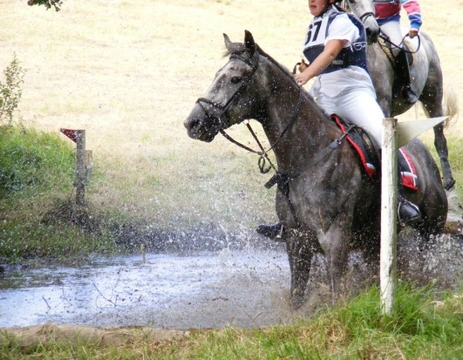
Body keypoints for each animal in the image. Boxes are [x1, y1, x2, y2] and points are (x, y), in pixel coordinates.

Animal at [184, 31, 450, 308]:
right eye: (217, 75)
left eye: (235, 78)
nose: (193, 123)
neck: (308, 155)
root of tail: (425, 155)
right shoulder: (296, 241)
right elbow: (297, 296)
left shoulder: (334, 240)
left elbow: (336, 294)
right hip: (374, 239)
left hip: (430, 230)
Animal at [342, 0, 458, 191]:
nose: (372, 31)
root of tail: (426, 39)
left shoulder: (381, 105)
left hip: (433, 98)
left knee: (440, 137)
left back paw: (448, 180)